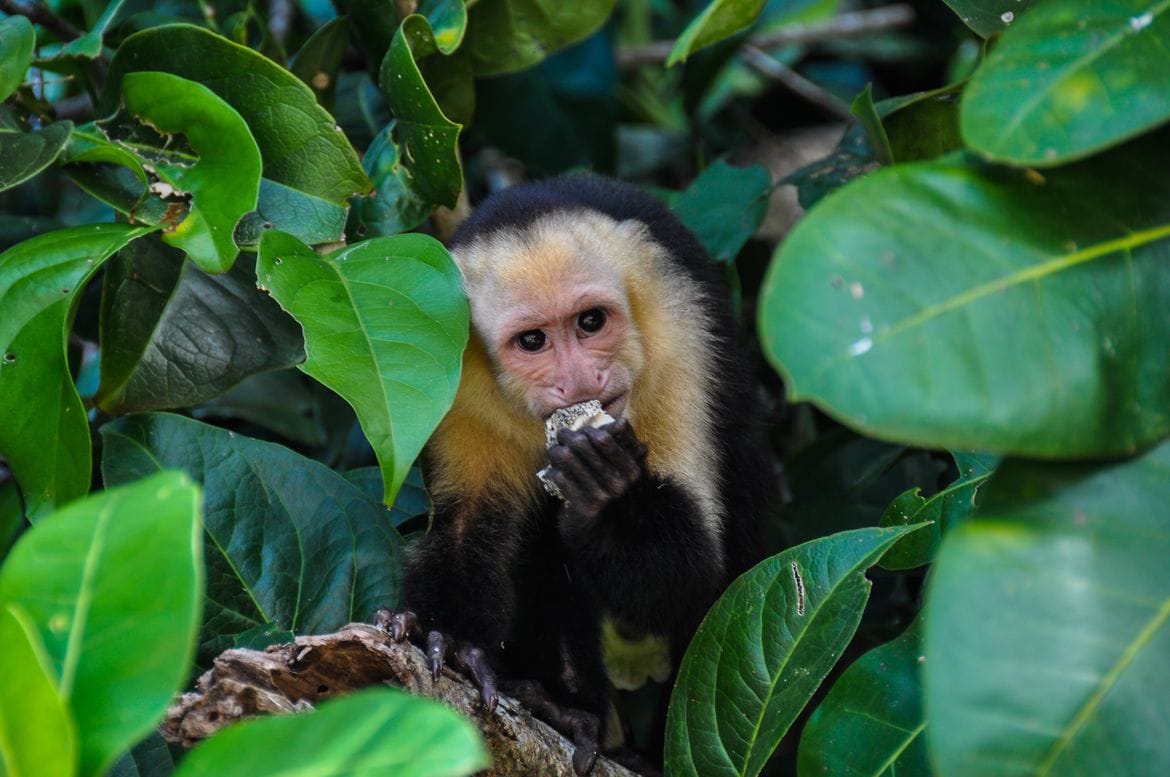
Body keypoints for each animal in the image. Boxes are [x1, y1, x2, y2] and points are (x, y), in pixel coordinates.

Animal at [379, 174, 772, 772]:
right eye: (533, 341)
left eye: (591, 322)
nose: (582, 378)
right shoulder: (452, 367)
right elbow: (469, 525)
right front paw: (444, 635)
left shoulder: (680, 334)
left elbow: (694, 578)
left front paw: (605, 493)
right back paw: (566, 707)